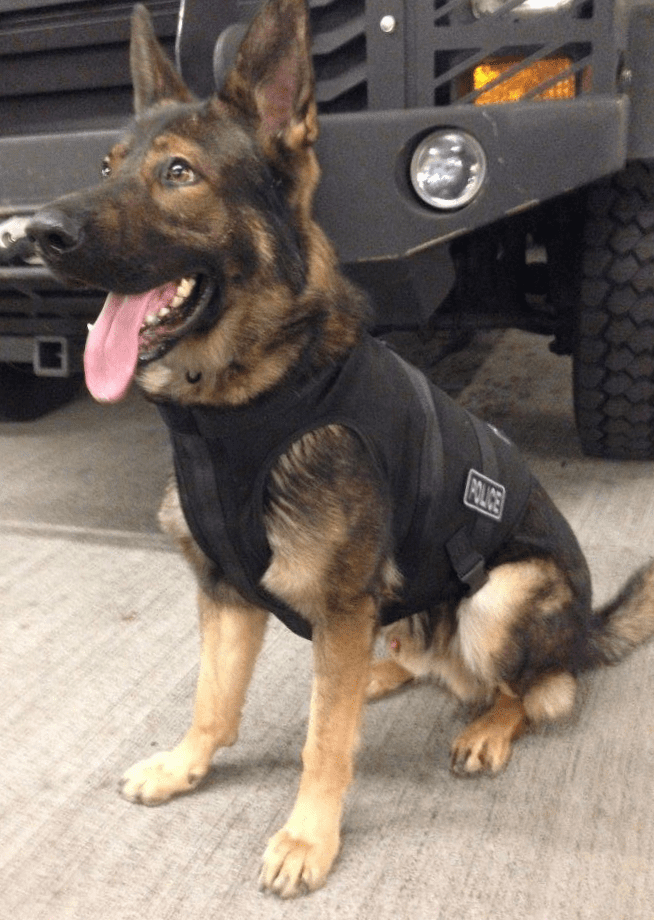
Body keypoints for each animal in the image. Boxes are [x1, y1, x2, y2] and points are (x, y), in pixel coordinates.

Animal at [28, 0, 654, 896]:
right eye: (107, 163)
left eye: (179, 173)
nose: (35, 231)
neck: (244, 406)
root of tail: (583, 626)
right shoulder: (228, 591)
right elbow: (213, 700)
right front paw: (185, 765)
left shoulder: (334, 602)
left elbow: (324, 742)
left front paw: (307, 836)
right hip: (394, 617)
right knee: (416, 661)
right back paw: (386, 674)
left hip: (503, 597)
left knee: (542, 686)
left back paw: (489, 724)